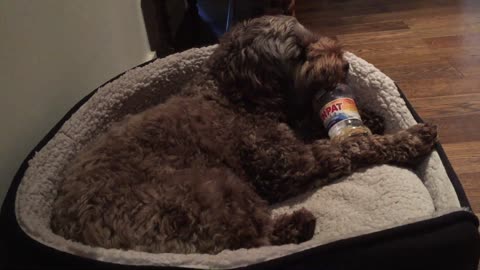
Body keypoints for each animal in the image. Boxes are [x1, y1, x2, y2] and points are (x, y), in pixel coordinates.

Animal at [50, 15, 436, 254]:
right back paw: (297, 225)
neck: (236, 95)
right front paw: (407, 138)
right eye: (300, 54)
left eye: (312, 38)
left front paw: (369, 115)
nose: (345, 66)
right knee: (251, 242)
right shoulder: (287, 163)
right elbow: (355, 146)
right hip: (213, 189)